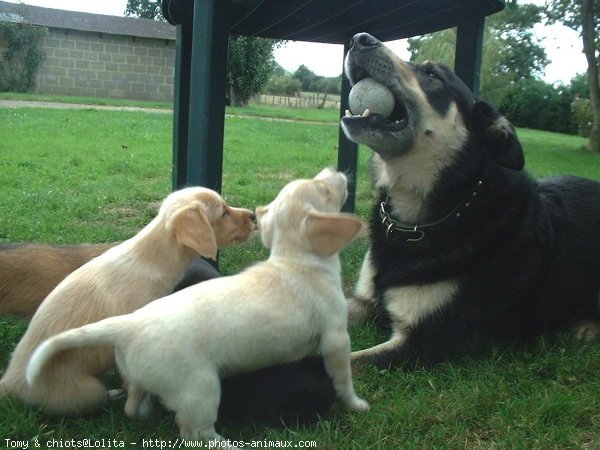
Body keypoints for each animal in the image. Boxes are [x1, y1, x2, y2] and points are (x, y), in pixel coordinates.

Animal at [0, 186, 253, 414]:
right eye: (224, 213)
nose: (252, 215)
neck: (152, 259)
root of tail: (9, 382)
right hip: (87, 391)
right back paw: (114, 395)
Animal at [28, 168, 370, 446]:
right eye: (324, 189)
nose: (334, 169)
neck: (295, 259)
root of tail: (129, 325)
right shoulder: (336, 338)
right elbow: (343, 379)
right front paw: (356, 405)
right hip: (202, 389)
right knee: (195, 433)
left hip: (141, 379)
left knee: (133, 406)